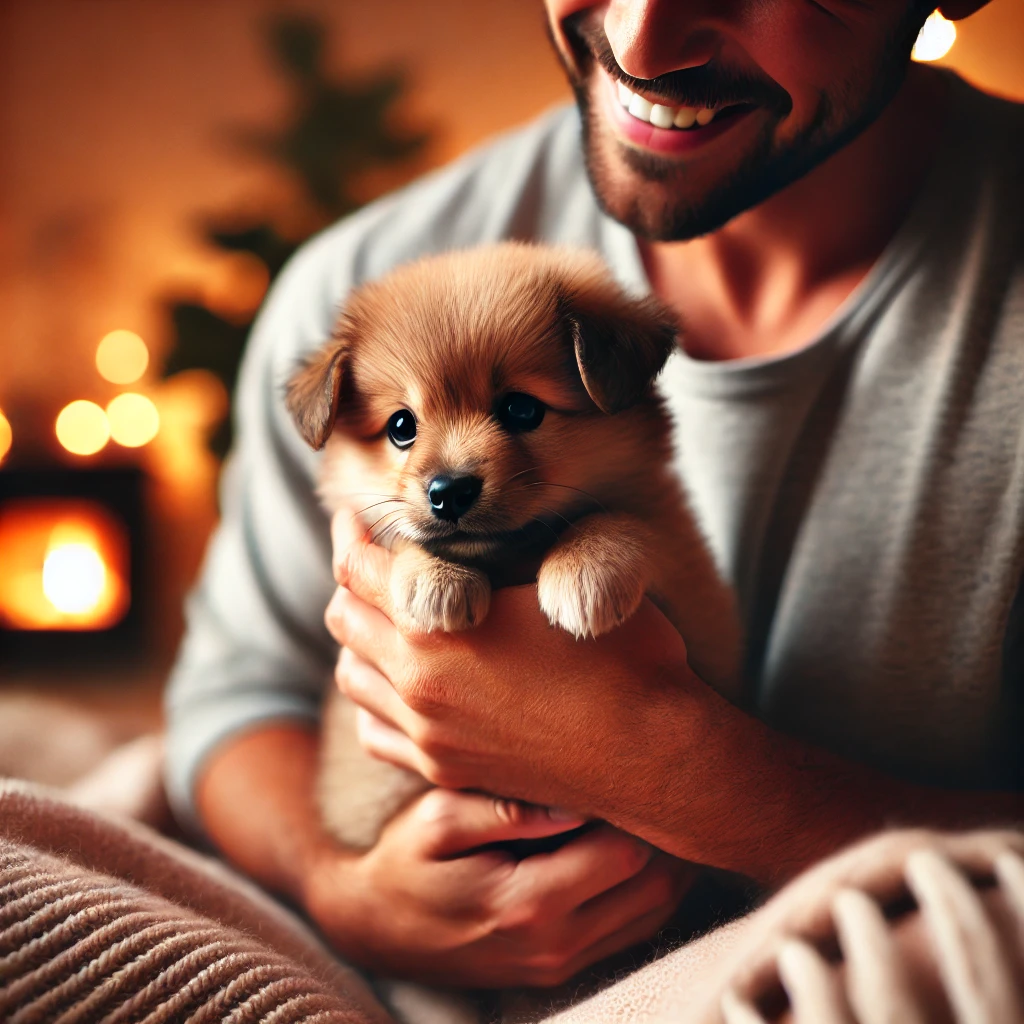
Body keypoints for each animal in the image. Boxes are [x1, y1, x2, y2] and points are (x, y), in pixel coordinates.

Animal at [286, 243, 737, 851]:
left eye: (522, 409)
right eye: (401, 426)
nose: (448, 492)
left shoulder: (695, 598)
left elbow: (622, 517)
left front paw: (584, 570)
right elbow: (400, 537)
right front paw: (434, 581)